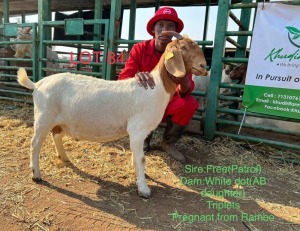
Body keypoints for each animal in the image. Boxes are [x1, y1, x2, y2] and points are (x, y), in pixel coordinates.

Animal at [16, 31, 207, 199]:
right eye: (183, 48)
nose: (204, 67)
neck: (155, 88)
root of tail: (38, 84)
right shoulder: (137, 129)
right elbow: (142, 158)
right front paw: (144, 189)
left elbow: (137, 156)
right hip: (43, 117)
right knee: (35, 144)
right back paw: (36, 175)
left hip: (59, 120)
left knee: (56, 135)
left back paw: (65, 158)